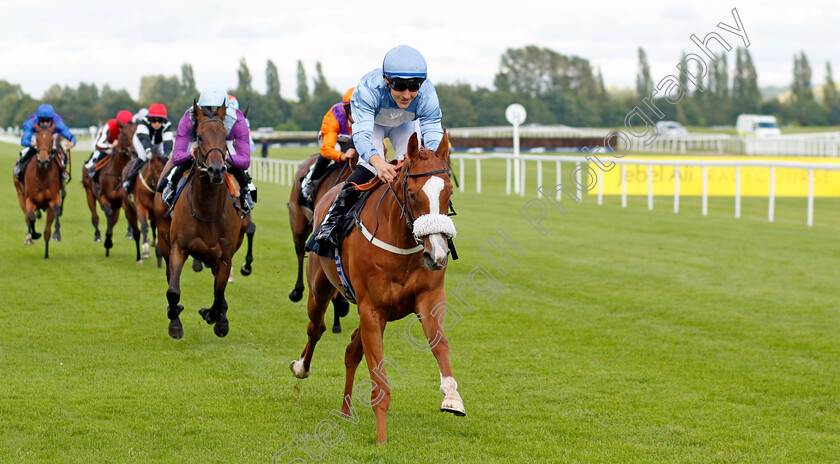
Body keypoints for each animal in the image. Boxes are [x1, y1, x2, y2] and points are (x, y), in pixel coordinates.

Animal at [13, 121, 64, 260]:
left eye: (51, 140)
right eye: (37, 139)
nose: (43, 160)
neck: (41, 176)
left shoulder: (54, 199)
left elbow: (51, 222)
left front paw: (56, 235)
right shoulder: (30, 199)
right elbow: (31, 217)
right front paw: (34, 234)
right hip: (19, 193)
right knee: (27, 216)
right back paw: (29, 237)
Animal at [82, 118, 139, 260]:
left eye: (136, 133)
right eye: (124, 134)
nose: (134, 152)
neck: (117, 173)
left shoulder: (122, 201)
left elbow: (117, 219)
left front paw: (110, 241)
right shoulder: (103, 197)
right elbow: (108, 214)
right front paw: (107, 240)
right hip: (89, 193)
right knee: (95, 217)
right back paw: (98, 236)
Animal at [155, 103, 249, 338]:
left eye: (225, 136)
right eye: (199, 136)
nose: (216, 170)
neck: (207, 210)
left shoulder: (224, 257)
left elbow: (218, 293)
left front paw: (215, 317)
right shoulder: (178, 247)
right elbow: (173, 290)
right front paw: (175, 321)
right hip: (163, 238)